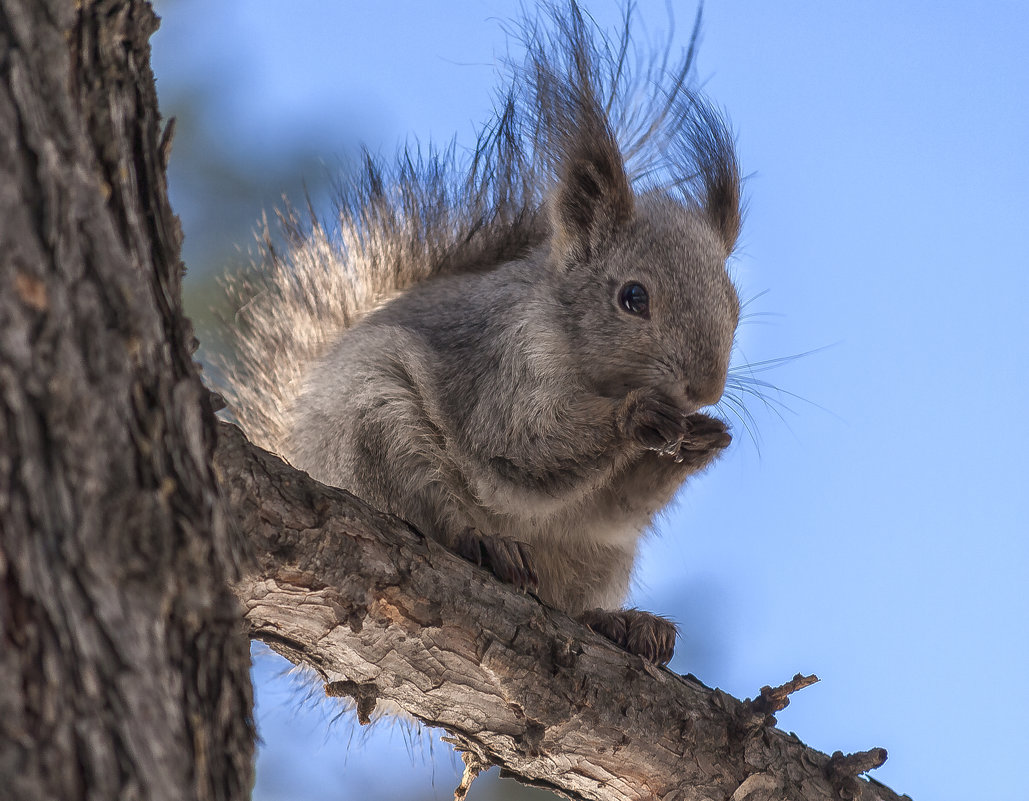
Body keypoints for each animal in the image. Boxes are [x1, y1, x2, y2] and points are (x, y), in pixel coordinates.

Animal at [223, 4, 740, 667]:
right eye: (633, 298)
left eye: (735, 307)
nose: (705, 390)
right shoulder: (504, 365)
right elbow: (522, 446)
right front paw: (638, 415)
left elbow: (616, 503)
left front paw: (705, 440)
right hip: (377, 430)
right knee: (433, 513)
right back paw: (485, 544)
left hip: (597, 558)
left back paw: (624, 624)